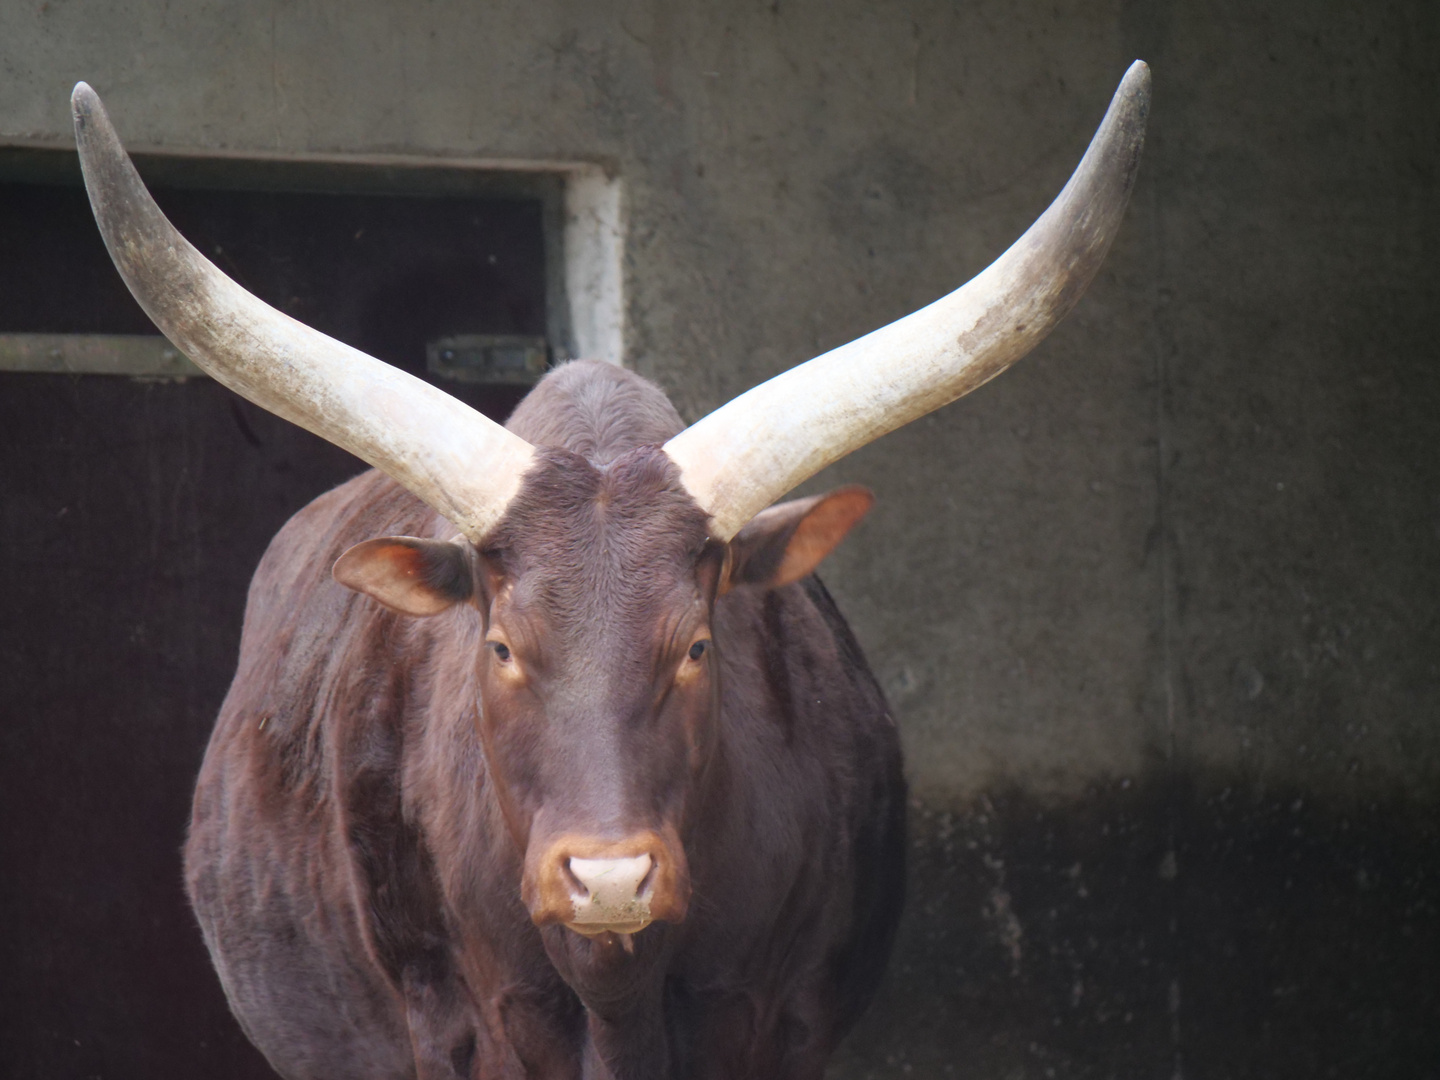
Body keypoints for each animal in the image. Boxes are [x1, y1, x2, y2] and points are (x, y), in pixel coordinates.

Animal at [70, 65, 1146, 1080]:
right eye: (500, 647)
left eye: (700, 645)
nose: (610, 880)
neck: (622, 991)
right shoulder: (467, 1026)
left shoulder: (784, 1024)